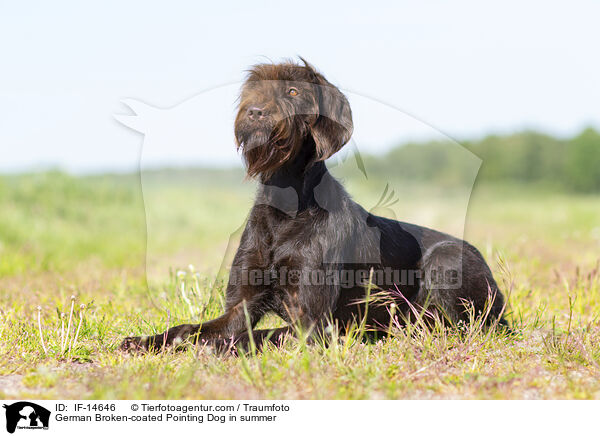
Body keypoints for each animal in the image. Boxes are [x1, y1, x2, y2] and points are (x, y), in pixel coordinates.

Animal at [120, 58, 506, 352]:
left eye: (293, 92)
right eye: (252, 91)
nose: (255, 112)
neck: (285, 206)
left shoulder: (311, 324)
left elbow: (257, 336)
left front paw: (214, 347)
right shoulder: (240, 306)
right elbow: (189, 328)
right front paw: (145, 340)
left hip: (446, 261)